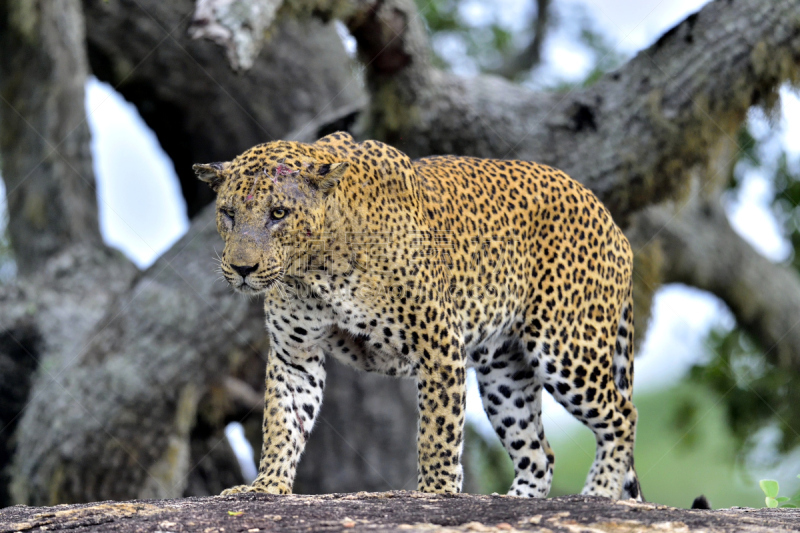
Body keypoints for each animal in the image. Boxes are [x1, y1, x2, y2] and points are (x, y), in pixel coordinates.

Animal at [195, 132, 644, 498]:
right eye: (229, 213)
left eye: (278, 214)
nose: (242, 268)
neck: (315, 270)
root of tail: (606, 214)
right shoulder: (295, 354)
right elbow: (282, 420)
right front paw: (267, 485)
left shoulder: (439, 343)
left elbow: (437, 430)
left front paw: (437, 492)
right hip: (505, 373)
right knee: (538, 453)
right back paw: (516, 501)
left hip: (567, 347)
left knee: (623, 415)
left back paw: (599, 492)